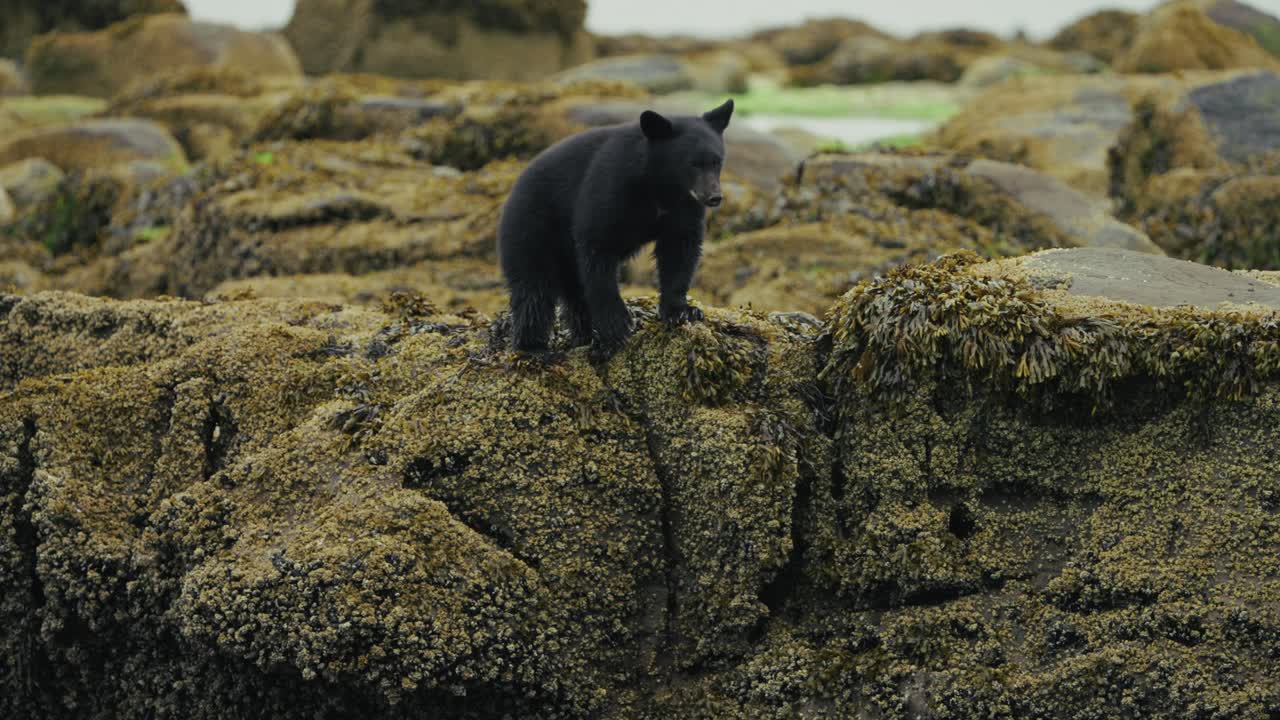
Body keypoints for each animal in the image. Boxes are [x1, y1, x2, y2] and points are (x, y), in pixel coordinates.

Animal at [497, 99, 734, 353]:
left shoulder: (683, 208)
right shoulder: (611, 187)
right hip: (531, 228)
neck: (659, 187)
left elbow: (680, 250)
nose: (714, 197)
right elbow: (597, 249)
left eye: (717, 161)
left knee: (572, 291)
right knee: (534, 289)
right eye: (693, 164)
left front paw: (682, 311)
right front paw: (616, 325)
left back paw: (583, 335)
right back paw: (532, 344)